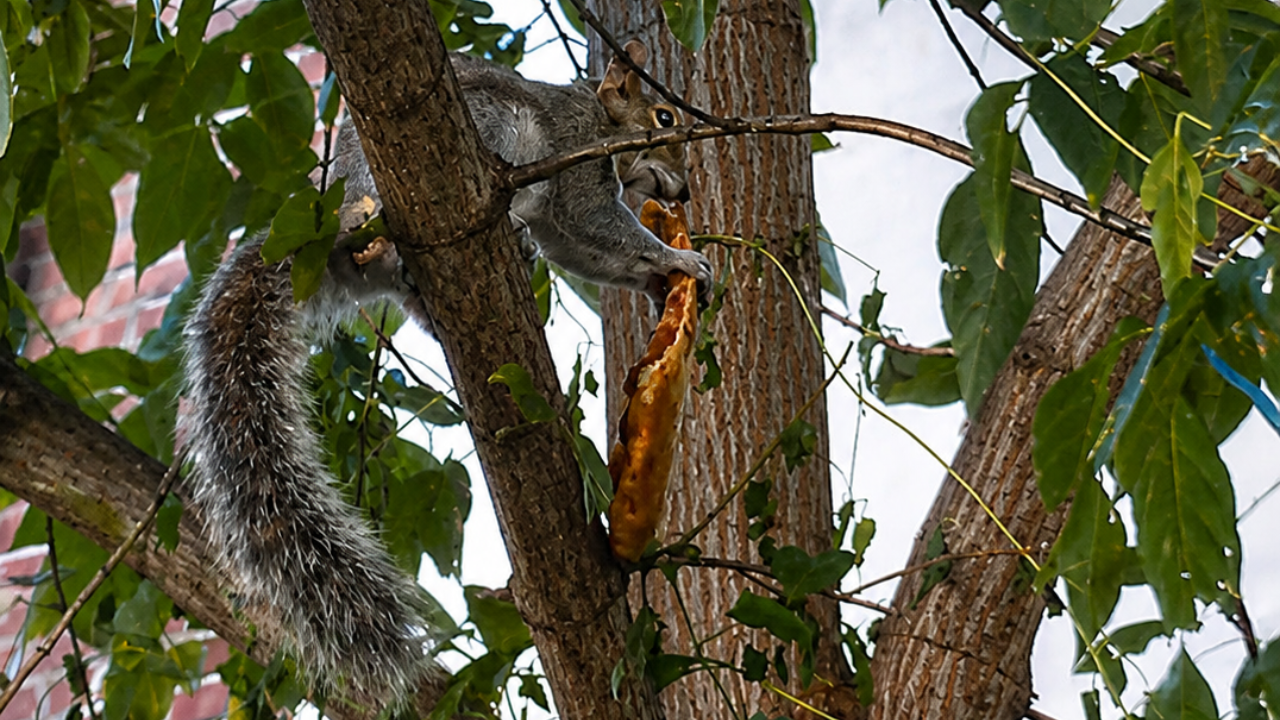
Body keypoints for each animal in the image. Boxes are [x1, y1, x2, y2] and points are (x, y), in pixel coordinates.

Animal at [181, 42, 710, 708]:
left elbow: (583, 250)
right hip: (485, 131)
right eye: (664, 119)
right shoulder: (576, 162)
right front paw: (677, 256)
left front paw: (660, 281)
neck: (602, 125)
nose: (685, 191)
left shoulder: (564, 220)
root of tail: (338, 219)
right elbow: (597, 222)